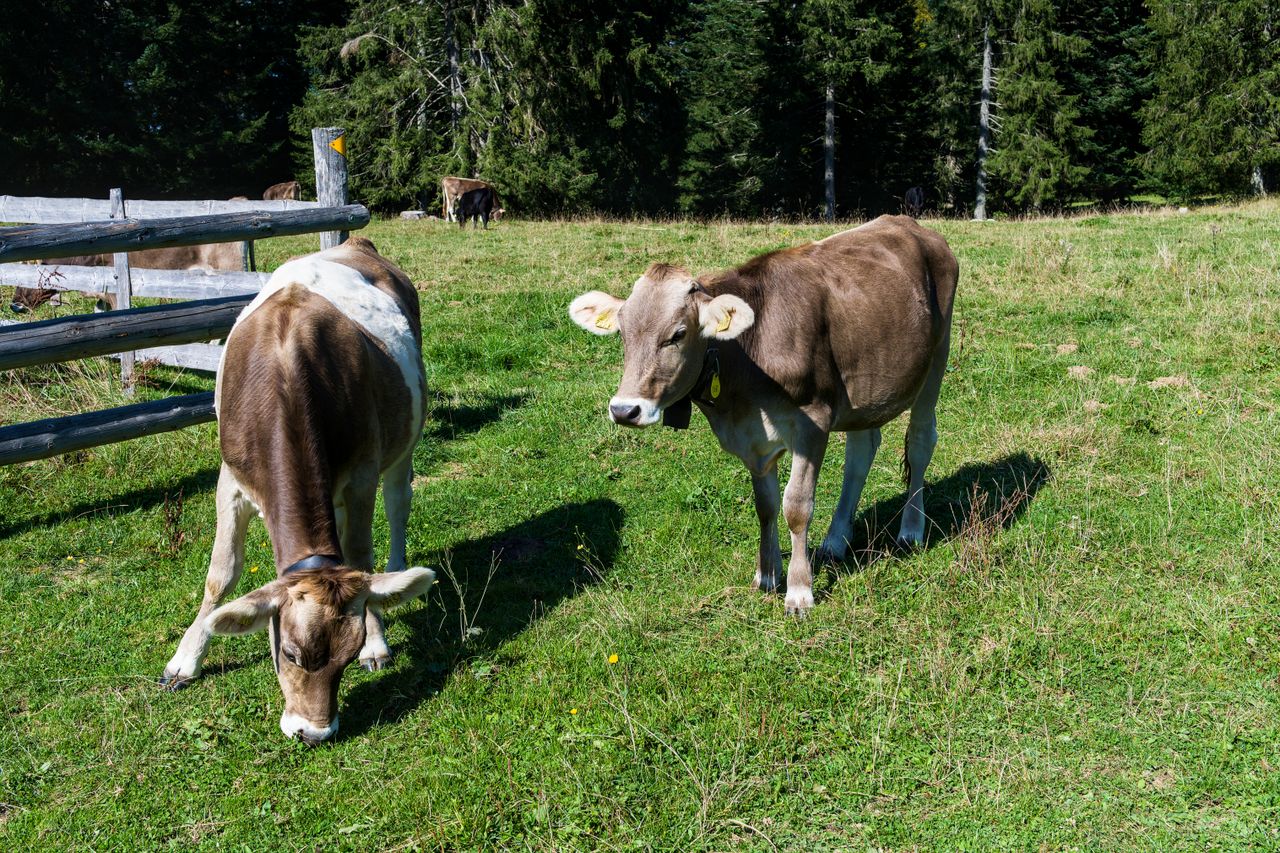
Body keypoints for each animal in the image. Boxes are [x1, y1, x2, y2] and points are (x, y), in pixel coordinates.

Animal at [160, 236, 435, 744]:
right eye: (289, 652)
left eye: (347, 656)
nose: (314, 732)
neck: (286, 372)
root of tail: (356, 242)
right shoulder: (231, 480)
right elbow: (220, 574)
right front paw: (186, 658)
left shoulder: (363, 473)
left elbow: (361, 558)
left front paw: (378, 640)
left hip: (403, 440)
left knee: (398, 505)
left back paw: (398, 571)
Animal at [569, 216, 958, 617]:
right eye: (623, 333)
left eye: (677, 334)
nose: (624, 409)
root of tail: (907, 223)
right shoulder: (753, 440)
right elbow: (766, 507)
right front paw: (767, 575)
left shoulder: (812, 424)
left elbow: (796, 507)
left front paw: (799, 592)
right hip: (866, 383)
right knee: (861, 452)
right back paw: (836, 539)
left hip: (936, 357)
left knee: (921, 441)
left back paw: (911, 530)